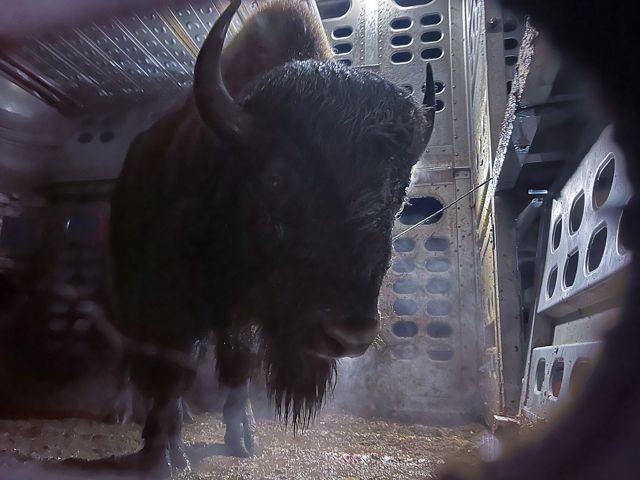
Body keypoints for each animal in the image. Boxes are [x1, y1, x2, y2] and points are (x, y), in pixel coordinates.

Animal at [110, 0, 436, 472]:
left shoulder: (240, 314)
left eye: (400, 191)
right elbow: (174, 366)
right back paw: (123, 411)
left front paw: (244, 439)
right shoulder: (174, 301)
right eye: (277, 179)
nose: (350, 335)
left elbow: (238, 365)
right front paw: (166, 453)